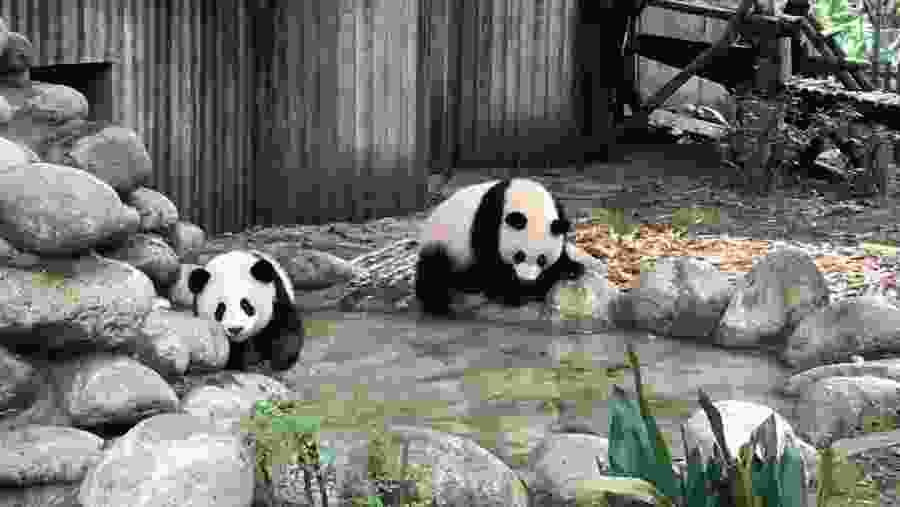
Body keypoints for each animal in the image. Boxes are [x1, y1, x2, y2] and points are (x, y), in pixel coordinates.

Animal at [416, 177, 585, 316]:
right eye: (519, 255)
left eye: (542, 259)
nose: (526, 280)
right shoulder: (490, 220)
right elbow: (492, 263)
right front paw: (514, 293)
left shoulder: (559, 214)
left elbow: (561, 253)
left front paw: (571, 268)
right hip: (442, 242)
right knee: (433, 271)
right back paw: (438, 303)